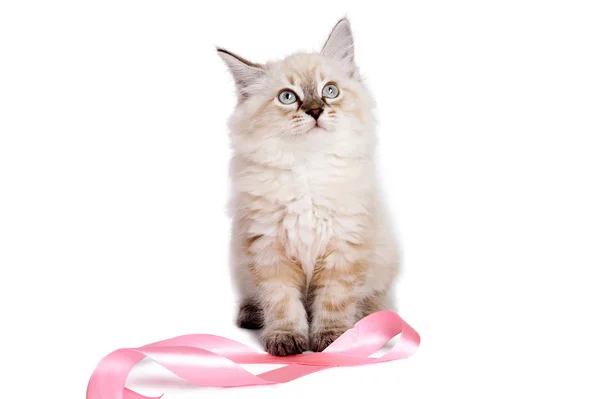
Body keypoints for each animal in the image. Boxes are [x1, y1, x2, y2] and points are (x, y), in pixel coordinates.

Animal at [216, 17, 398, 358]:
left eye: (330, 91)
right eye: (288, 97)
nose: (315, 110)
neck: (307, 174)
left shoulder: (345, 248)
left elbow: (334, 301)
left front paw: (332, 339)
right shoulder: (268, 249)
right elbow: (282, 303)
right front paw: (286, 339)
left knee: (378, 302)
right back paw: (250, 316)